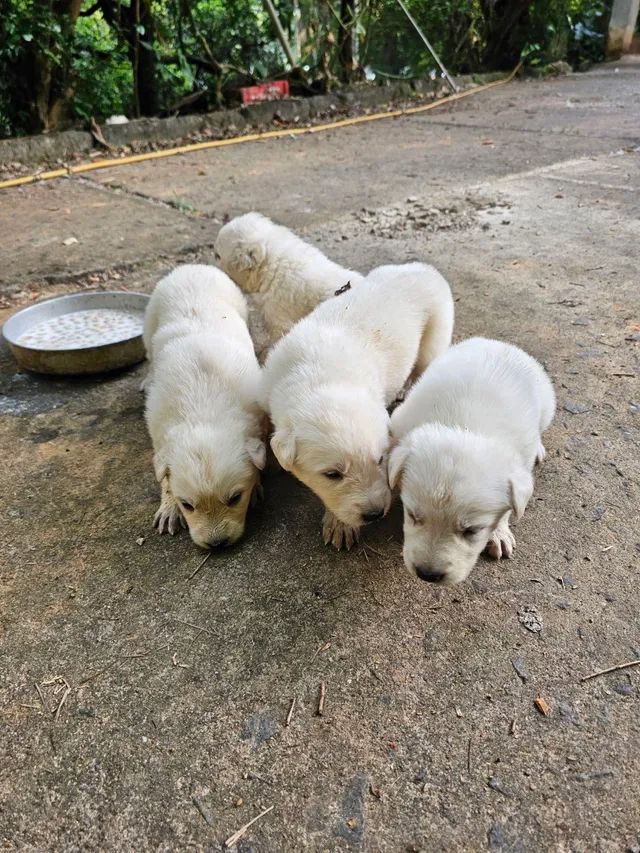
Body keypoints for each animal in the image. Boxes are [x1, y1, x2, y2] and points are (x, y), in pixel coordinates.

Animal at [144, 262, 264, 548]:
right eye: (187, 505)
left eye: (235, 498)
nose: (217, 545)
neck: (202, 407)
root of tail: (192, 266)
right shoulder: (158, 429)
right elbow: (165, 476)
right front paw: (168, 507)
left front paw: (258, 486)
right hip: (149, 322)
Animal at [262, 262, 456, 548]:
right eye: (332, 474)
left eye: (380, 459)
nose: (375, 514)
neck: (320, 375)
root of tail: (424, 267)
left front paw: (340, 525)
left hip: (436, 331)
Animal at [390, 336, 556, 584]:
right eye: (412, 515)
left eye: (472, 530)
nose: (427, 575)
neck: (464, 426)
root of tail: (497, 343)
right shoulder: (401, 422)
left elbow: (509, 508)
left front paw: (499, 533)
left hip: (547, 404)